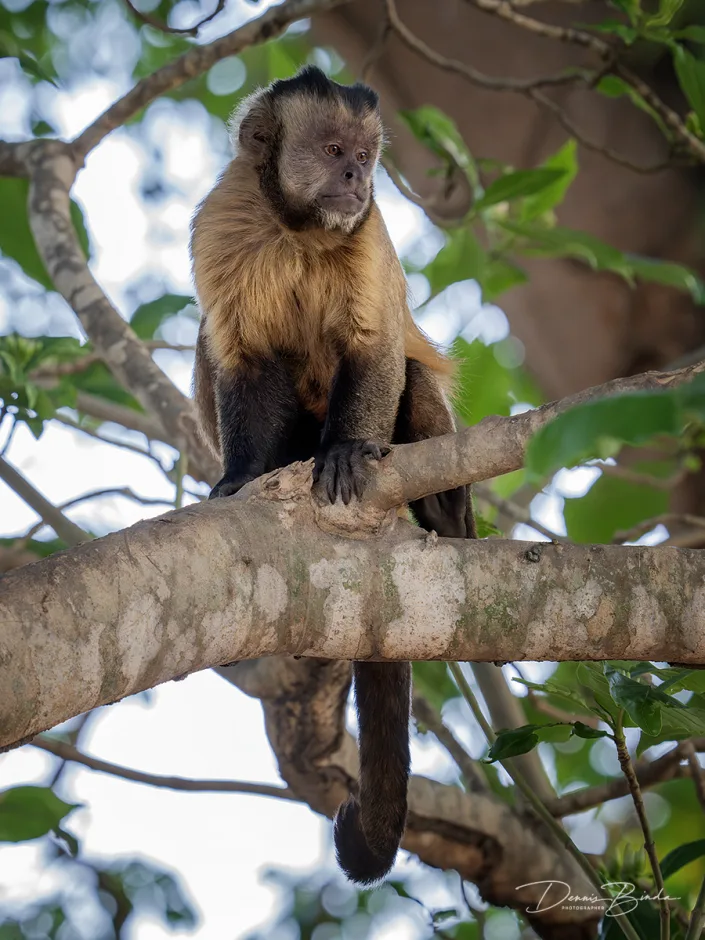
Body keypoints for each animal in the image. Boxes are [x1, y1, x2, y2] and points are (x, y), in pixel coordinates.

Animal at [190, 65, 474, 886]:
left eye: (366, 157)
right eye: (332, 150)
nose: (356, 177)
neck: (299, 228)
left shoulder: (368, 232)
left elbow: (375, 350)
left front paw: (347, 450)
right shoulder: (224, 220)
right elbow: (240, 357)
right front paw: (239, 478)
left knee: (412, 376)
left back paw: (445, 514)